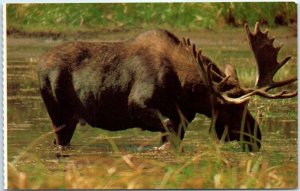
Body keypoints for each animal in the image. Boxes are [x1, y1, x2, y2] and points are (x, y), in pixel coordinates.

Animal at [38, 22, 298, 151]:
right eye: (233, 108)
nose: (257, 137)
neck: (185, 90)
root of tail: (39, 65)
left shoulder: (183, 117)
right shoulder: (139, 105)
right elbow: (167, 132)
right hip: (59, 116)